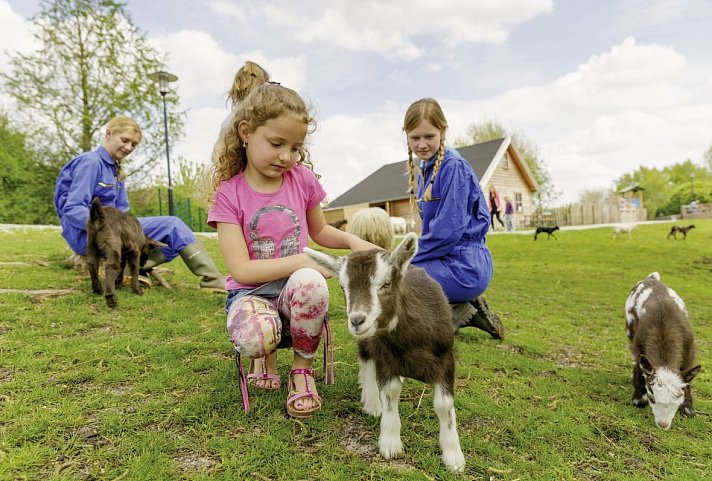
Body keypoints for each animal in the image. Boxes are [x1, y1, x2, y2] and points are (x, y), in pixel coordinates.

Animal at [304, 232, 464, 472]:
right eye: (343, 287)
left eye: (386, 283)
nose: (357, 320)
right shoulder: (386, 356)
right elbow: (390, 391)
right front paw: (390, 443)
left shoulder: (446, 359)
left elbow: (444, 405)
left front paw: (453, 457)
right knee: (366, 358)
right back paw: (372, 401)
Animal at [624, 272, 700, 430]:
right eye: (652, 397)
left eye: (678, 397)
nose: (663, 424)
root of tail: (651, 278)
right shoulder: (638, 346)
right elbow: (639, 366)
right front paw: (638, 398)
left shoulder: (690, 350)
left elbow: (688, 379)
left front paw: (688, 409)